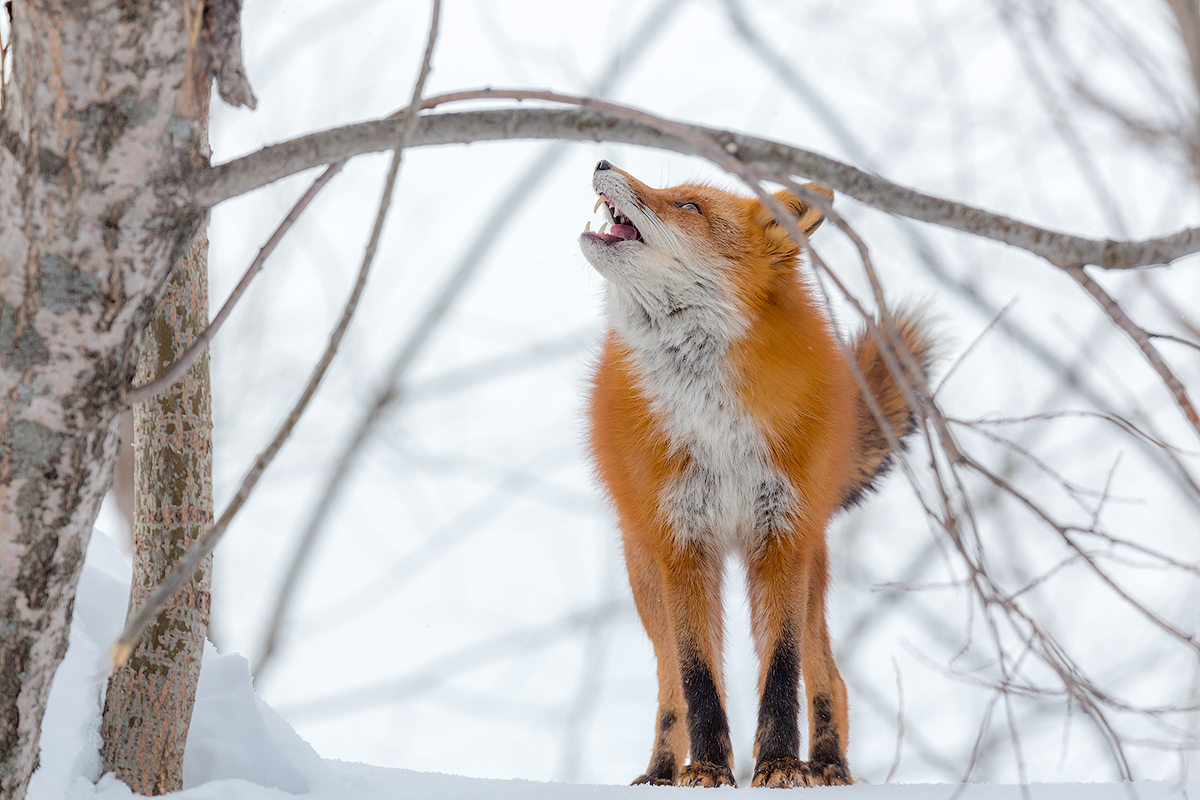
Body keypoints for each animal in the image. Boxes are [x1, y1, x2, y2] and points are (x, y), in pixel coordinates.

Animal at [576, 160, 931, 786]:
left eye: (688, 206)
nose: (601, 163)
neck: (718, 426)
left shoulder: (780, 536)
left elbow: (782, 670)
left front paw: (781, 764)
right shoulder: (684, 542)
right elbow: (697, 680)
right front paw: (709, 769)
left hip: (810, 566)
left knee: (828, 674)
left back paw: (829, 765)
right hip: (647, 576)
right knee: (670, 687)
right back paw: (663, 771)